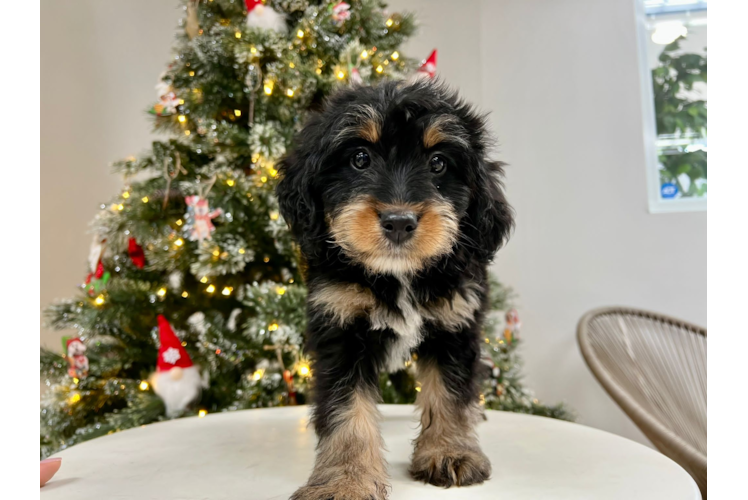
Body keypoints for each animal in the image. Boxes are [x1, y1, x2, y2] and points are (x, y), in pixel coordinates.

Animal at [276, 80, 516, 498]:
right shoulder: (339, 326)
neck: (397, 274)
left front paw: (450, 452)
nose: (399, 221)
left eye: (438, 163)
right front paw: (346, 479)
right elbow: (346, 408)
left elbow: (450, 390)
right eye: (359, 159)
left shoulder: (455, 323)